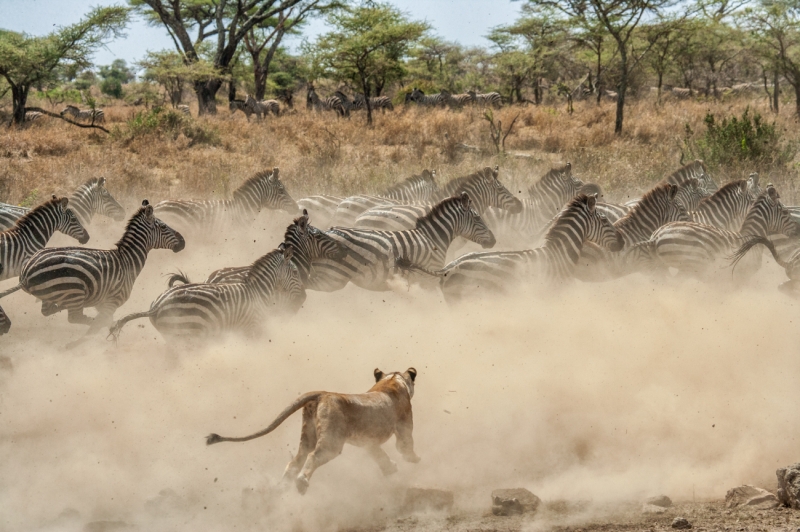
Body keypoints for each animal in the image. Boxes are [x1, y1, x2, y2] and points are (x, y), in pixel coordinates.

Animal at [206, 367, 420, 494]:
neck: (392, 380)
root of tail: (322, 393)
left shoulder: (368, 442)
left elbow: (379, 455)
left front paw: (390, 469)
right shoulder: (404, 425)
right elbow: (405, 446)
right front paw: (414, 459)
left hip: (307, 435)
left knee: (295, 461)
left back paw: (282, 488)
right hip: (332, 442)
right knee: (313, 457)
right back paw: (301, 484)